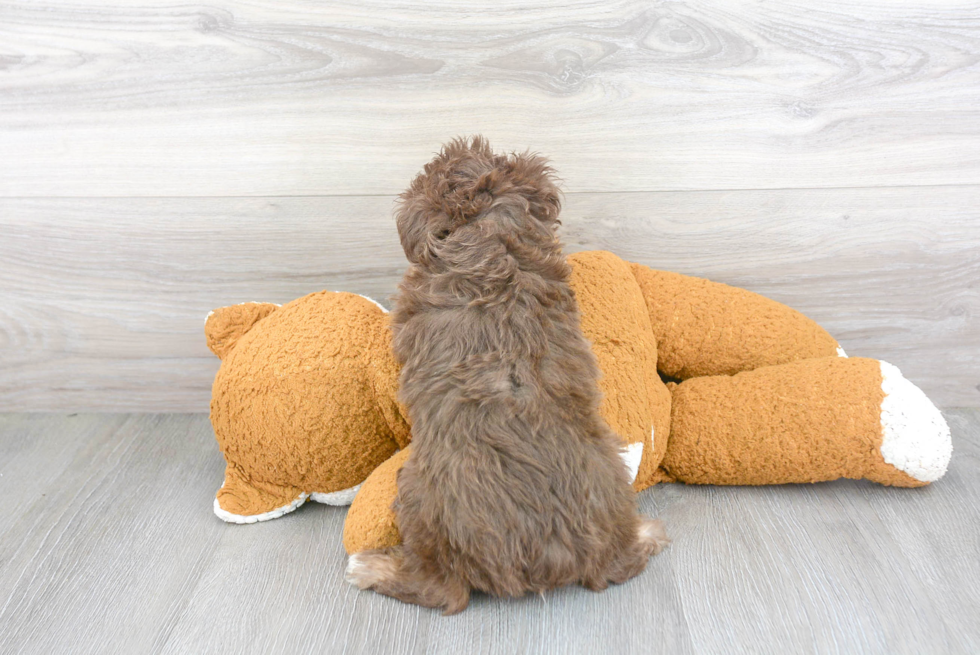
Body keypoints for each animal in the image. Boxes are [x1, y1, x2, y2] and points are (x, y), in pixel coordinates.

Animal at [344, 137, 668, 616]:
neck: (489, 242)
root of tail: (549, 557)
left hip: (419, 498)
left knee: (440, 589)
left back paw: (369, 568)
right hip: (611, 471)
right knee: (621, 559)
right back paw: (644, 533)